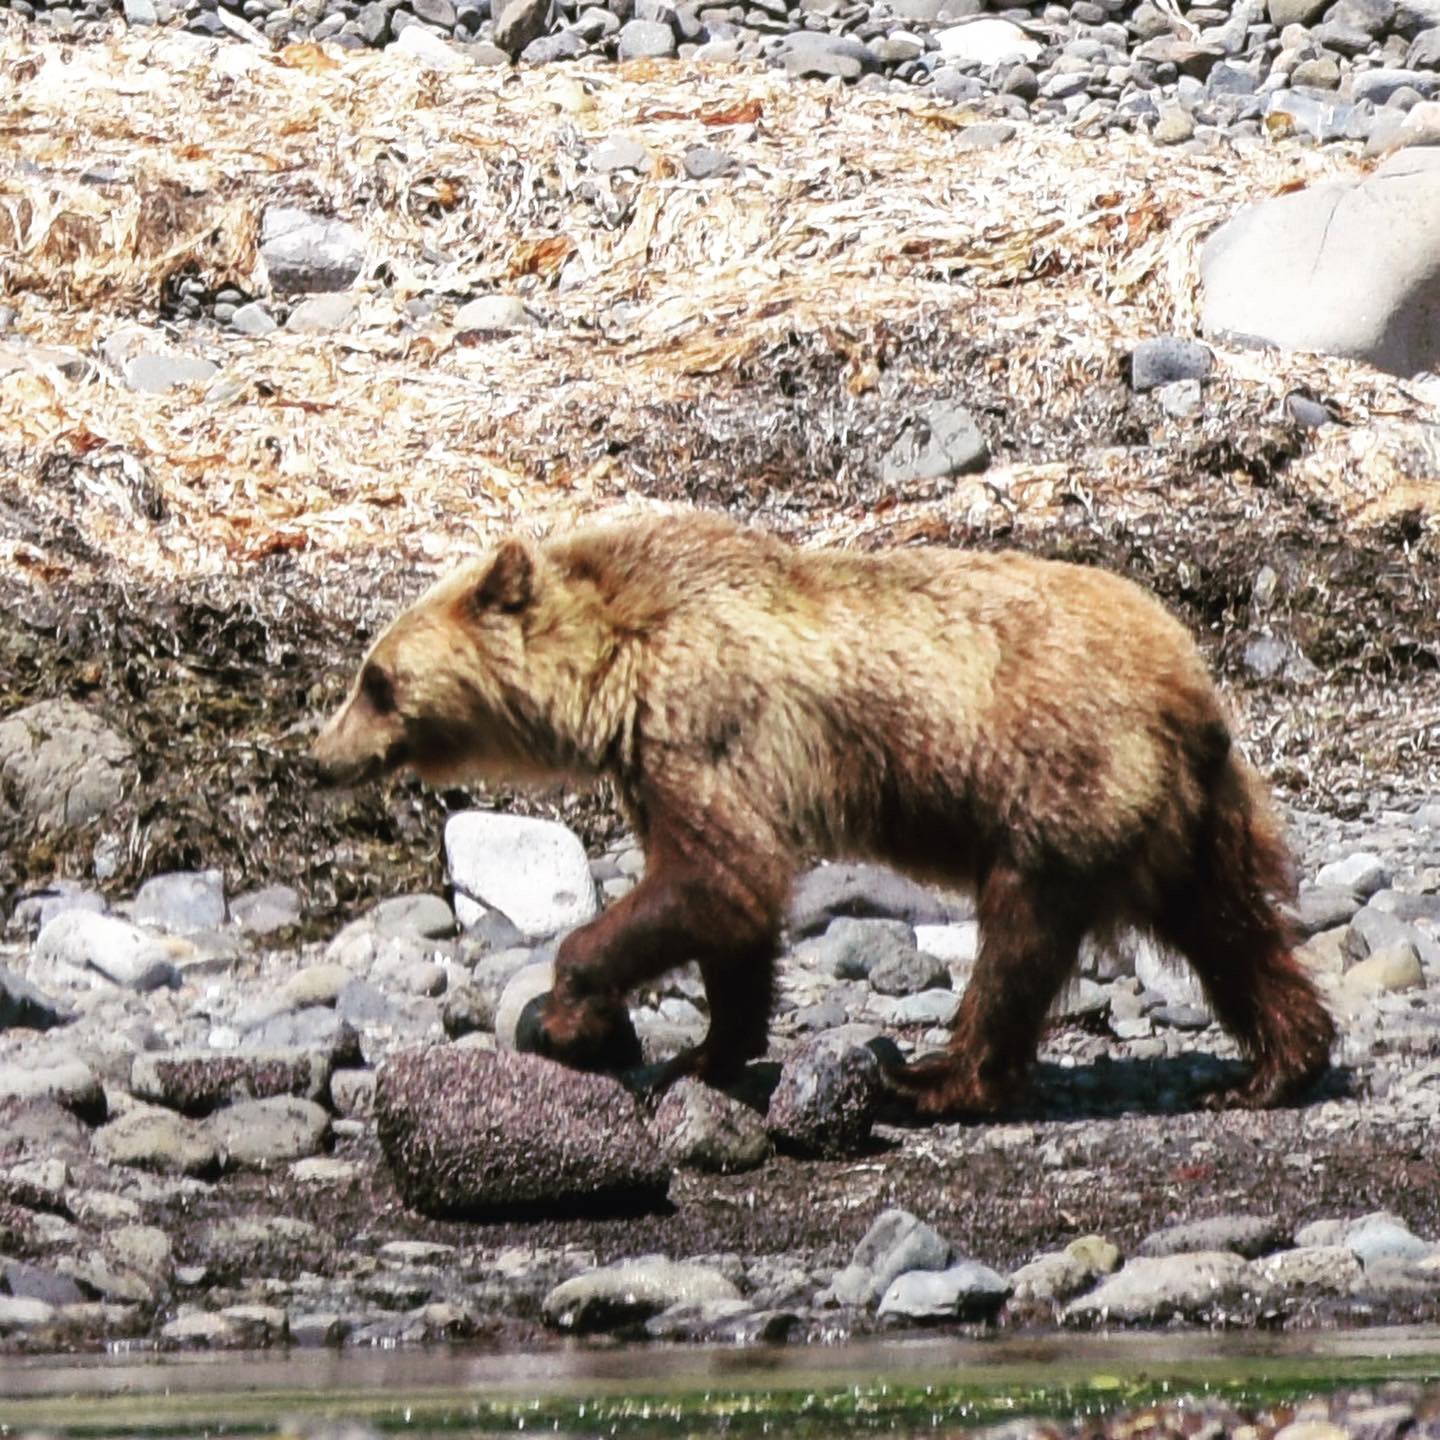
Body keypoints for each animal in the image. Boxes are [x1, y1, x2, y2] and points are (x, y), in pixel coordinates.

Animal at [312, 512, 1336, 1117]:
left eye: (377, 680)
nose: (321, 757)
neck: (613, 672)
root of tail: (1189, 680)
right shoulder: (663, 757)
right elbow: (732, 910)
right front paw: (706, 1053)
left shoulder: (703, 725)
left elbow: (721, 875)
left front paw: (572, 1011)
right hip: (1189, 813)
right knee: (1232, 927)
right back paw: (1273, 1066)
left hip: (1061, 780)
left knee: (1021, 941)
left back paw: (933, 1077)